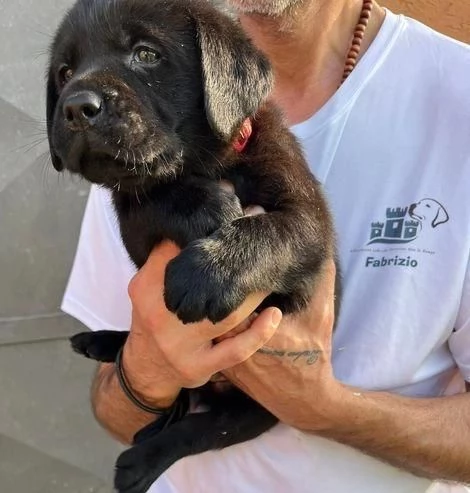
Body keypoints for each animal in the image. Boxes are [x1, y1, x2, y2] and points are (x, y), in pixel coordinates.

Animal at [46, 0, 338, 492]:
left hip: (258, 407)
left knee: (202, 429)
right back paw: (103, 342)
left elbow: (274, 231)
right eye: (65, 72)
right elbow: (153, 194)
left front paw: (207, 275)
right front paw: (205, 206)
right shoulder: (132, 217)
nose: (76, 107)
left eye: (146, 54)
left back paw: (140, 460)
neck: (209, 163)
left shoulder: (312, 224)